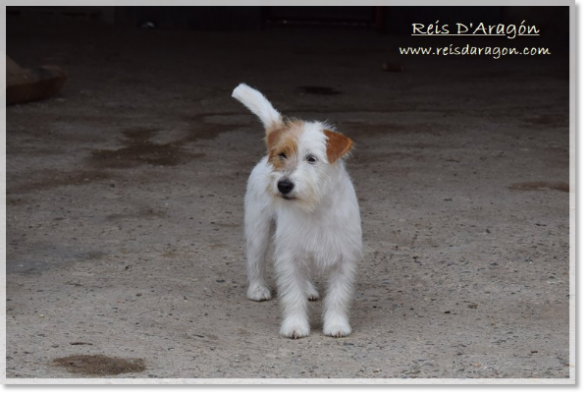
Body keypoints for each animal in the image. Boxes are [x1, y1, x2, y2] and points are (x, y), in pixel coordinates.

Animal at [229, 84, 360, 340]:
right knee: (255, 260)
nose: (284, 185)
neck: (315, 207)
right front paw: (295, 326)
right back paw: (257, 289)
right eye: (282, 155)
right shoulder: (289, 255)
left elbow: (338, 295)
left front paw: (336, 325)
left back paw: (308, 288)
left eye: (311, 159)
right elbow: (292, 295)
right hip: (258, 230)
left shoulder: (344, 258)